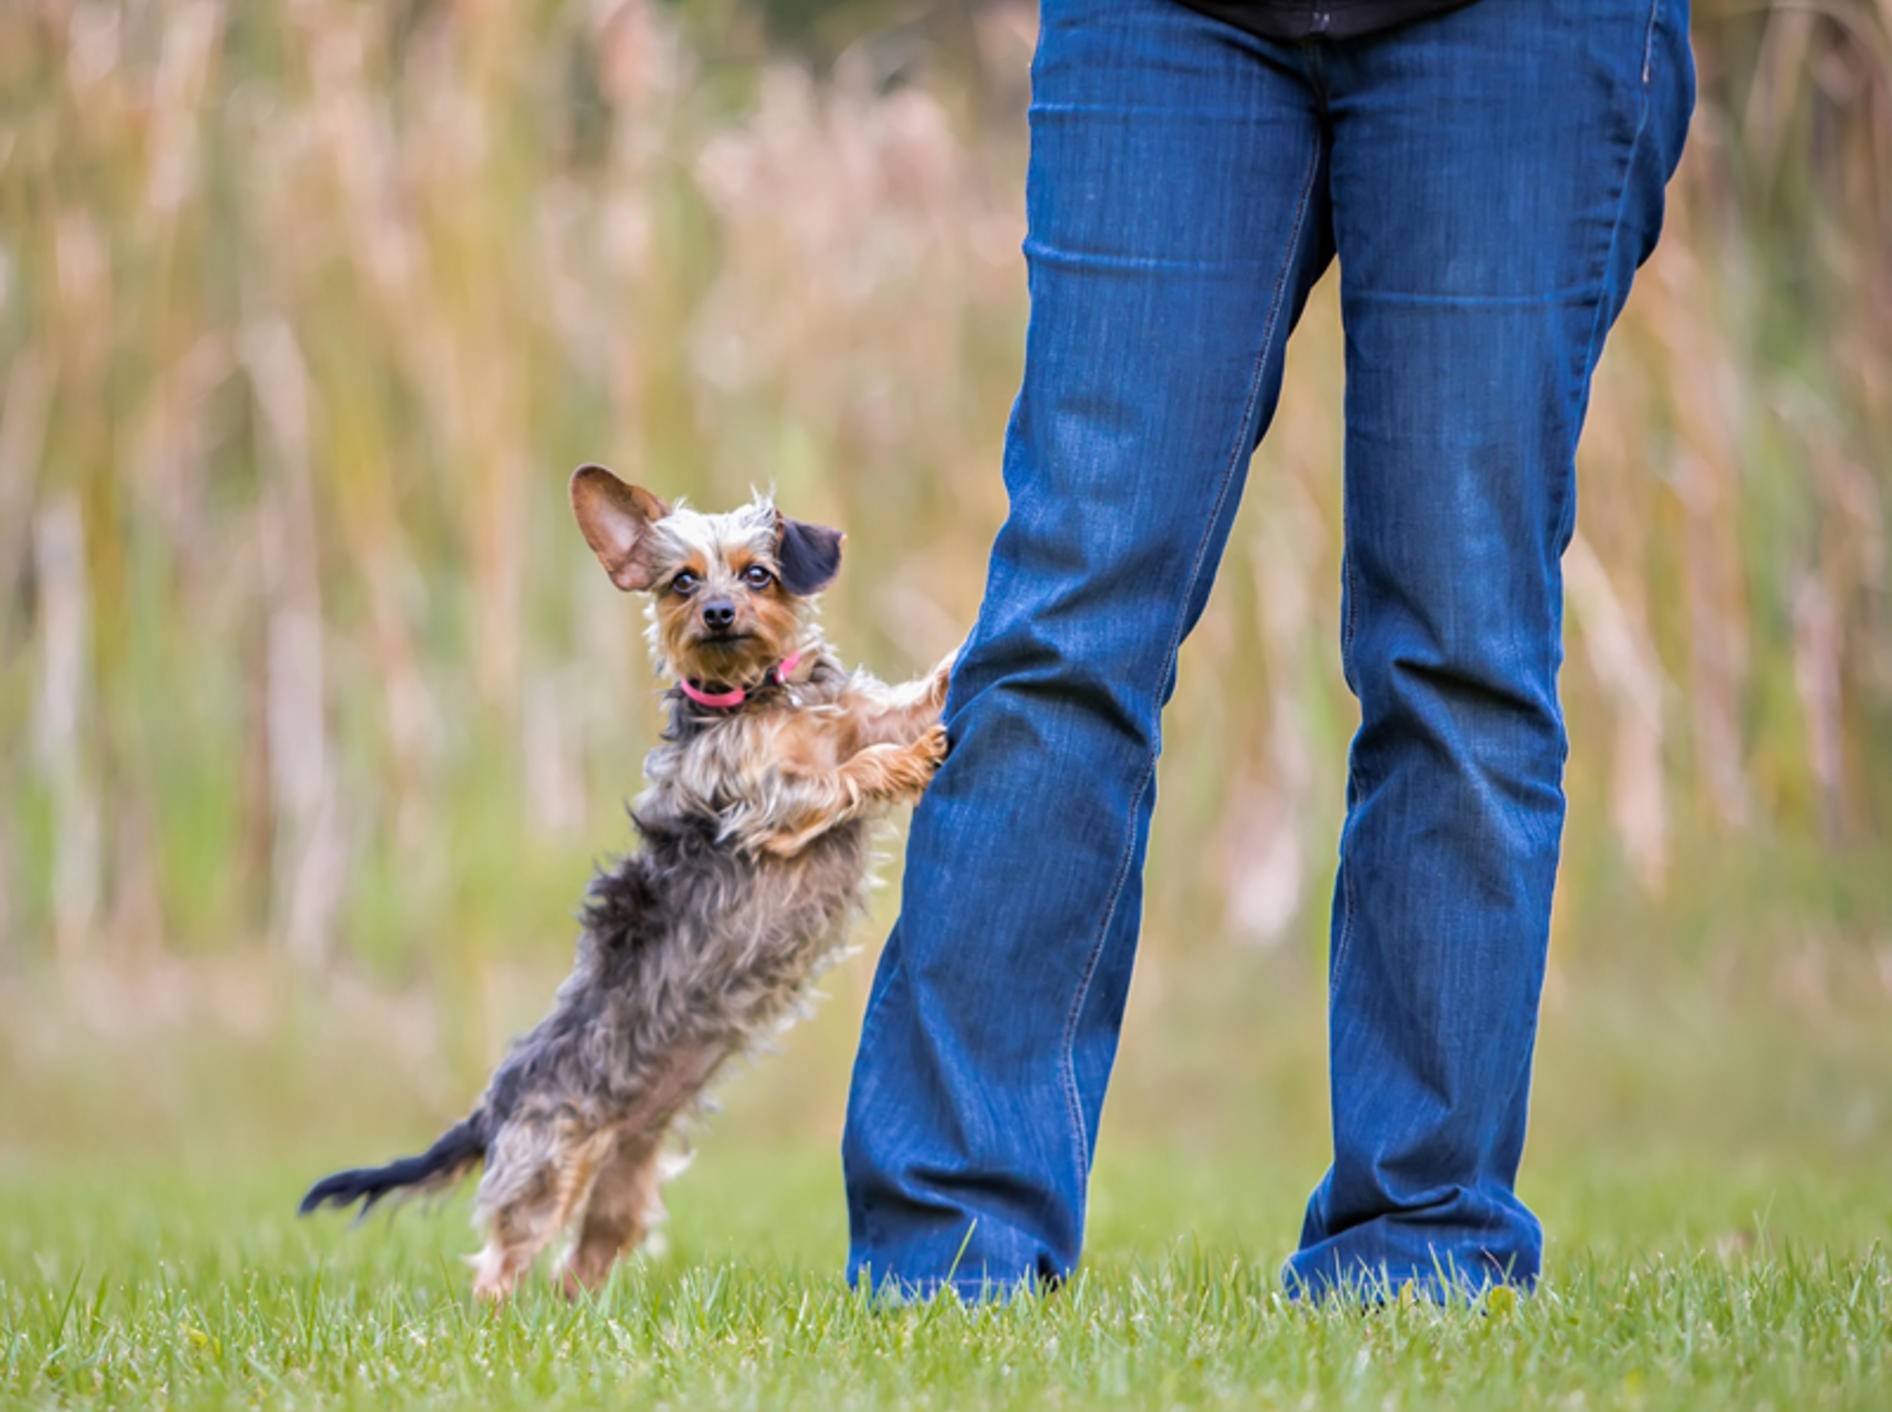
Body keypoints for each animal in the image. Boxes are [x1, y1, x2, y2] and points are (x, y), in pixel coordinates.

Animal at [300, 465, 953, 1294]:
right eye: (682, 582)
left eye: (758, 574)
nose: (717, 613)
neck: (758, 697)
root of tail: (495, 1103)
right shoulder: (767, 804)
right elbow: (842, 776)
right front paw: (907, 762)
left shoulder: (854, 718)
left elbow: (904, 706)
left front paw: (954, 668)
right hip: (545, 1169)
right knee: (500, 1263)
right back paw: (495, 1311)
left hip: (624, 1182)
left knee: (581, 1263)